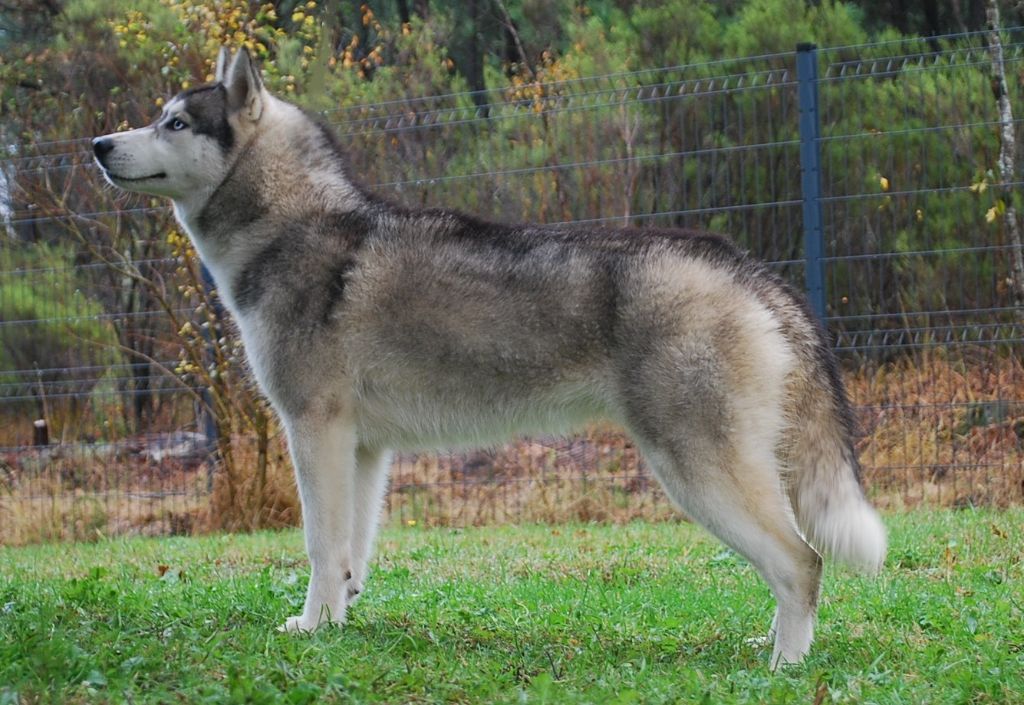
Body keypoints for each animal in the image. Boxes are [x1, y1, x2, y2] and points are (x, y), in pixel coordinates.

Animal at [92, 48, 884, 668]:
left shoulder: (312, 429)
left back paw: (785, 665)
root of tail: (745, 267)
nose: (98, 143)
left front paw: (311, 629)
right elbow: (350, 554)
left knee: (802, 562)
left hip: (696, 471)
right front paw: (335, 626)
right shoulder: (362, 448)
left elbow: (319, 547)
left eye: (174, 122)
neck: (296, 225)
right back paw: (771, 645)